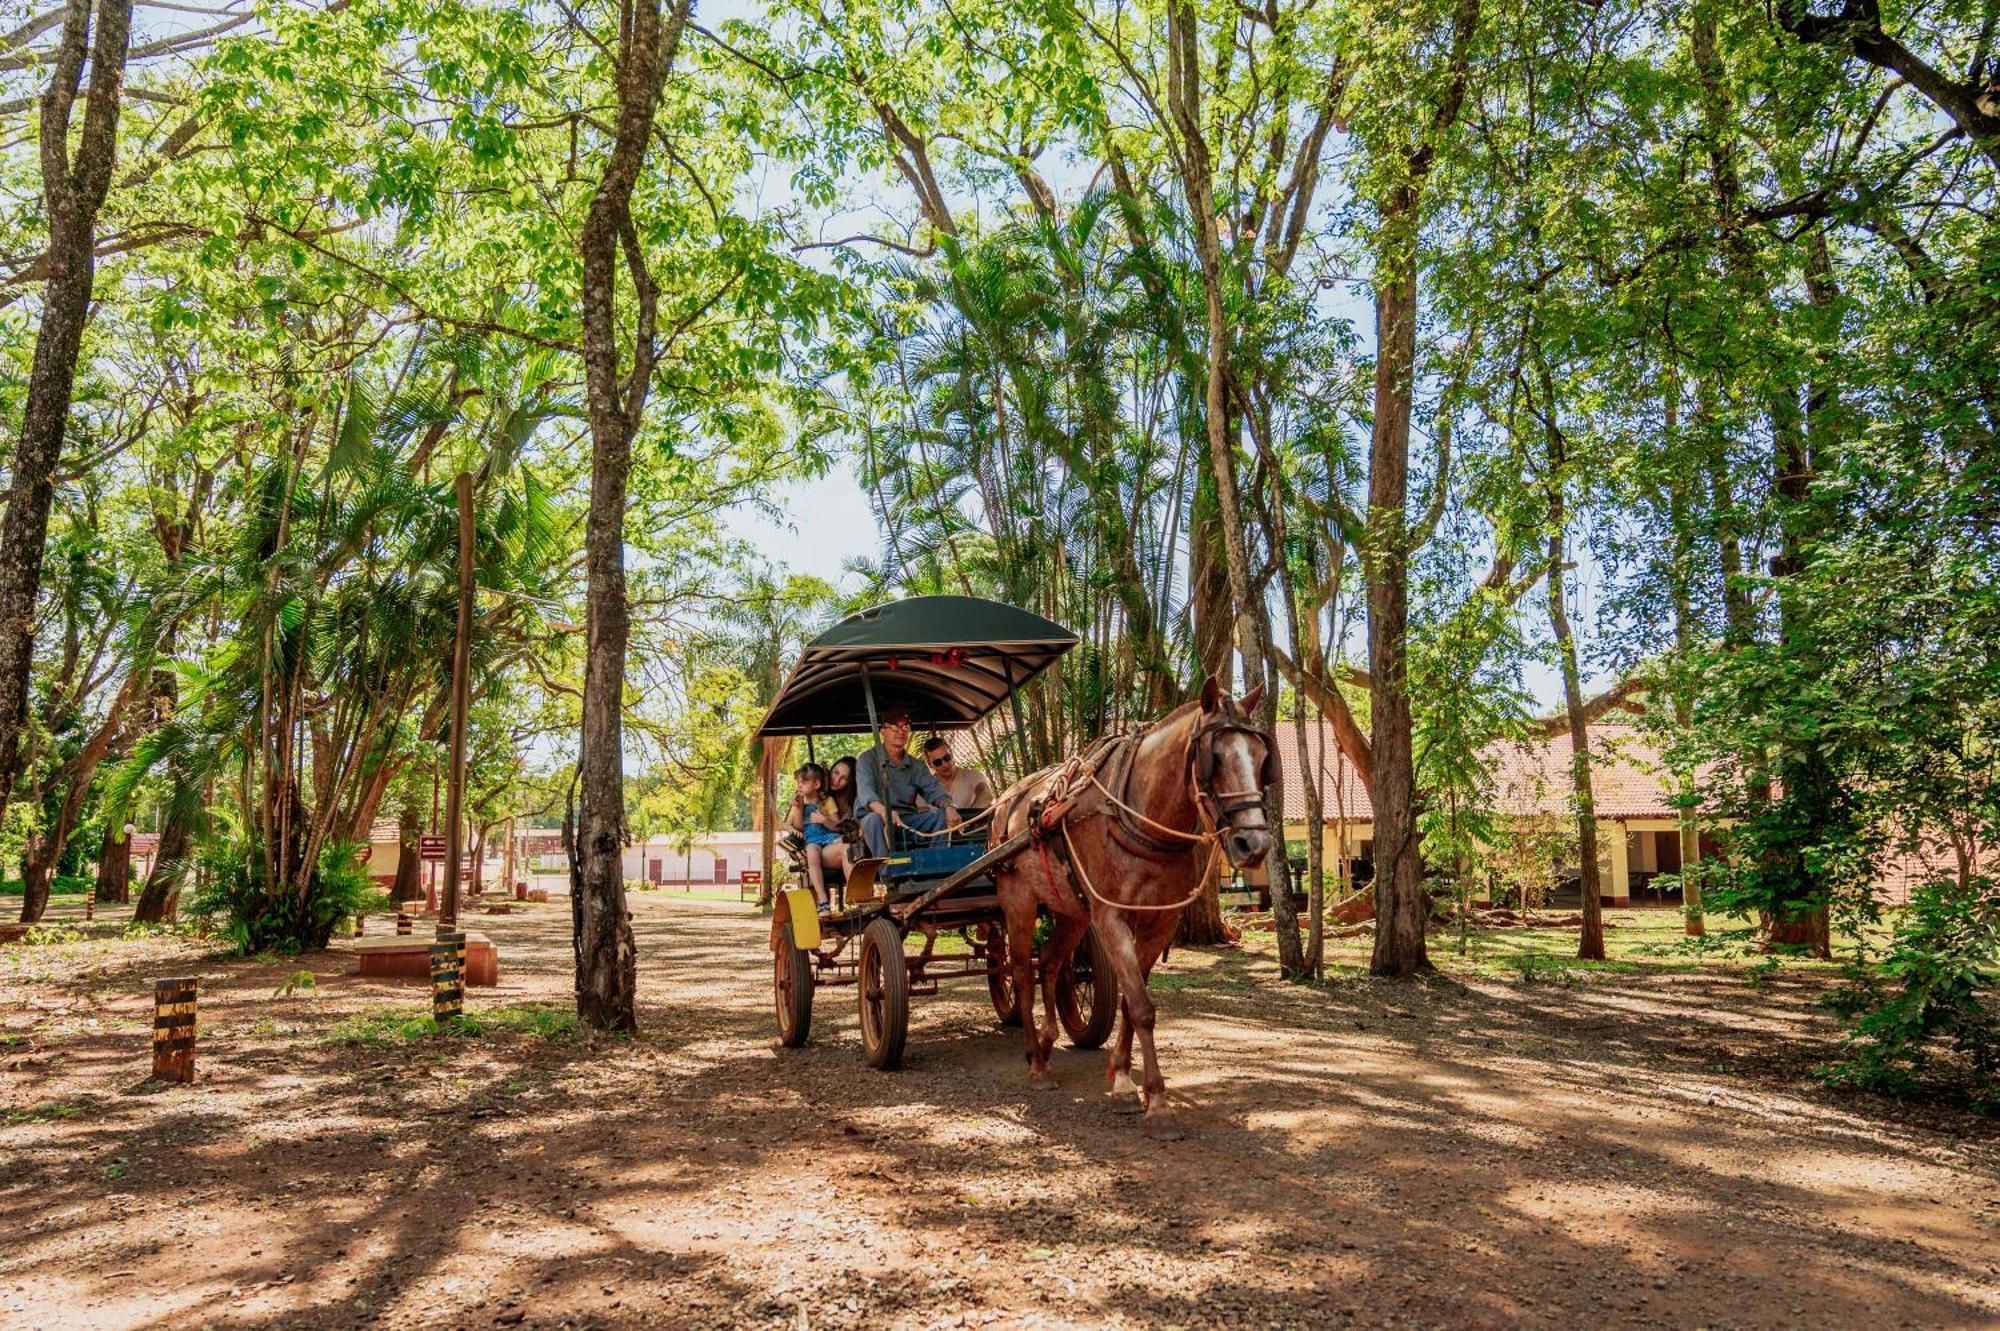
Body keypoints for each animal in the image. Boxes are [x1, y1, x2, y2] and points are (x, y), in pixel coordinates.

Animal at [988, 675, 1280, 1127]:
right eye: (1213, 758)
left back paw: (1050, 1040)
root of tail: (1006, 801)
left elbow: (1130, 1002)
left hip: (1070, 911)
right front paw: (1157, 1102)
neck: (1138, 814)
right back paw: (1036, 1061)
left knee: (1051, 961)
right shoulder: (1110, 918)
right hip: (1018, 901)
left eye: (1263, 758)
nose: (1254, 844)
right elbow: (1142, 1007)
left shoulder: (1160, 923)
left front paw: (1124, 1079)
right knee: (1020, 970)